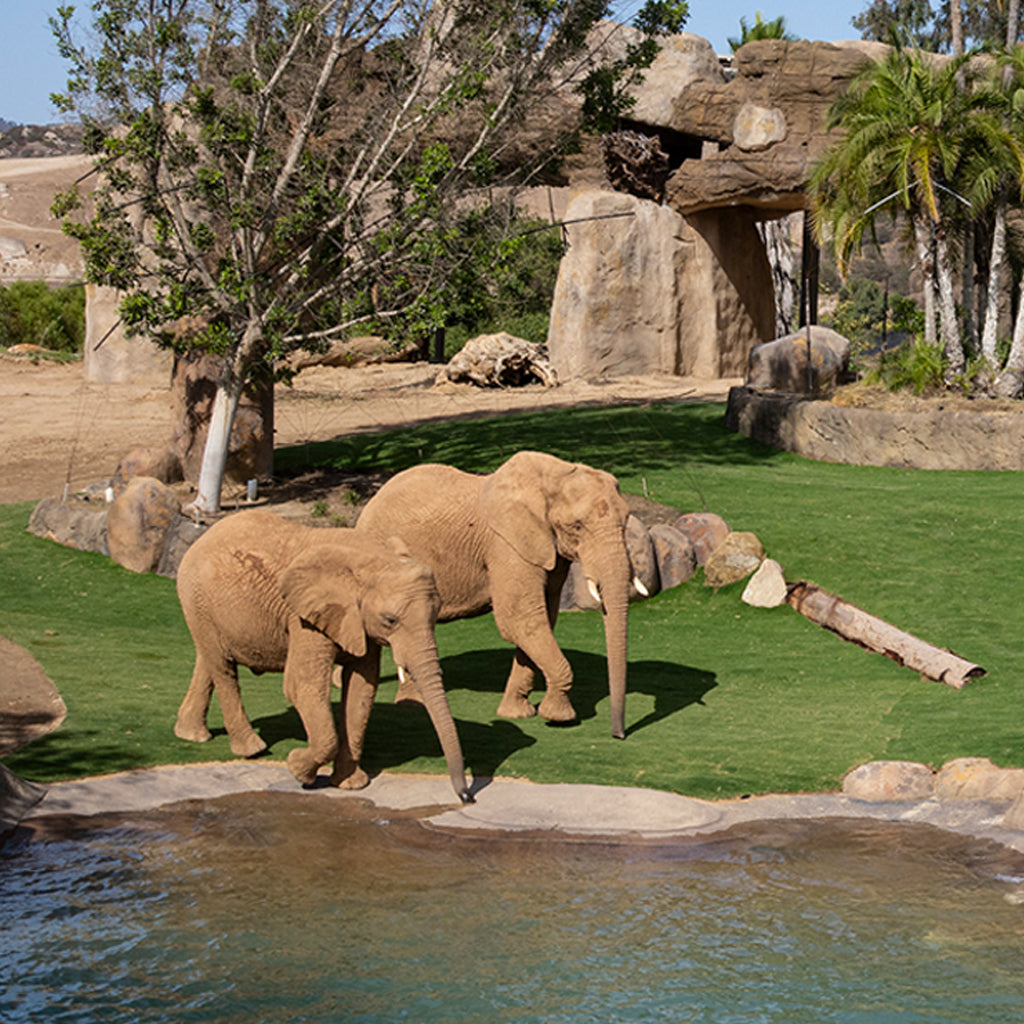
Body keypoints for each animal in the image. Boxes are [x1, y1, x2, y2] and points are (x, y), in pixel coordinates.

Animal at [173, 509, 473, 804]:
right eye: (390, 620)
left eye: (436, 614)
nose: (467, 796)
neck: (373, 556)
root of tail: (201, 537)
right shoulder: (305, 617)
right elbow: (301, 686)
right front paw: (297, 768)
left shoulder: (357, 619)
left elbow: (362, 689)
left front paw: (351, 785)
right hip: (196, 596)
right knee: (223, 669)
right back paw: (252, 749)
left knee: (208, 661)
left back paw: (191, 735)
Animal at [355, 450, 644, 738]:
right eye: (576, 527)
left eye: (625, 522)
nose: (618, 734)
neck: (555, 473)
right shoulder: (505, 545)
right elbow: (519, 619)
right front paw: (559, 717)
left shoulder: (546, 550)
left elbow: (542, 619)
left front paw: (517, 713)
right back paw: (411, 705)